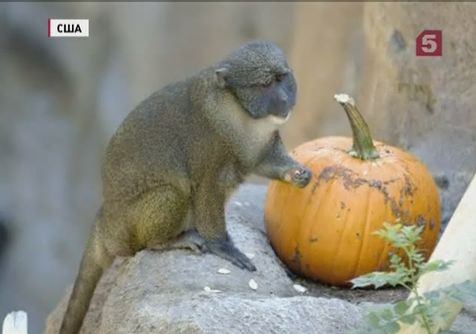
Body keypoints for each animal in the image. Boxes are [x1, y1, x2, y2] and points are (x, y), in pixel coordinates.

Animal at [58, 40, 312, 332]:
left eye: (282, 79)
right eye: (265, 84)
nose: (283, 99)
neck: (240, 112)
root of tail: (105, 220)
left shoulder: (258, 143)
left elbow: (262, 159)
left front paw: (297, 173)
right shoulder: (210, 143)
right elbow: (207, 188)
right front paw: (221, 245)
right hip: (130, 227)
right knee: (171, 194)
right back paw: (164, 241)